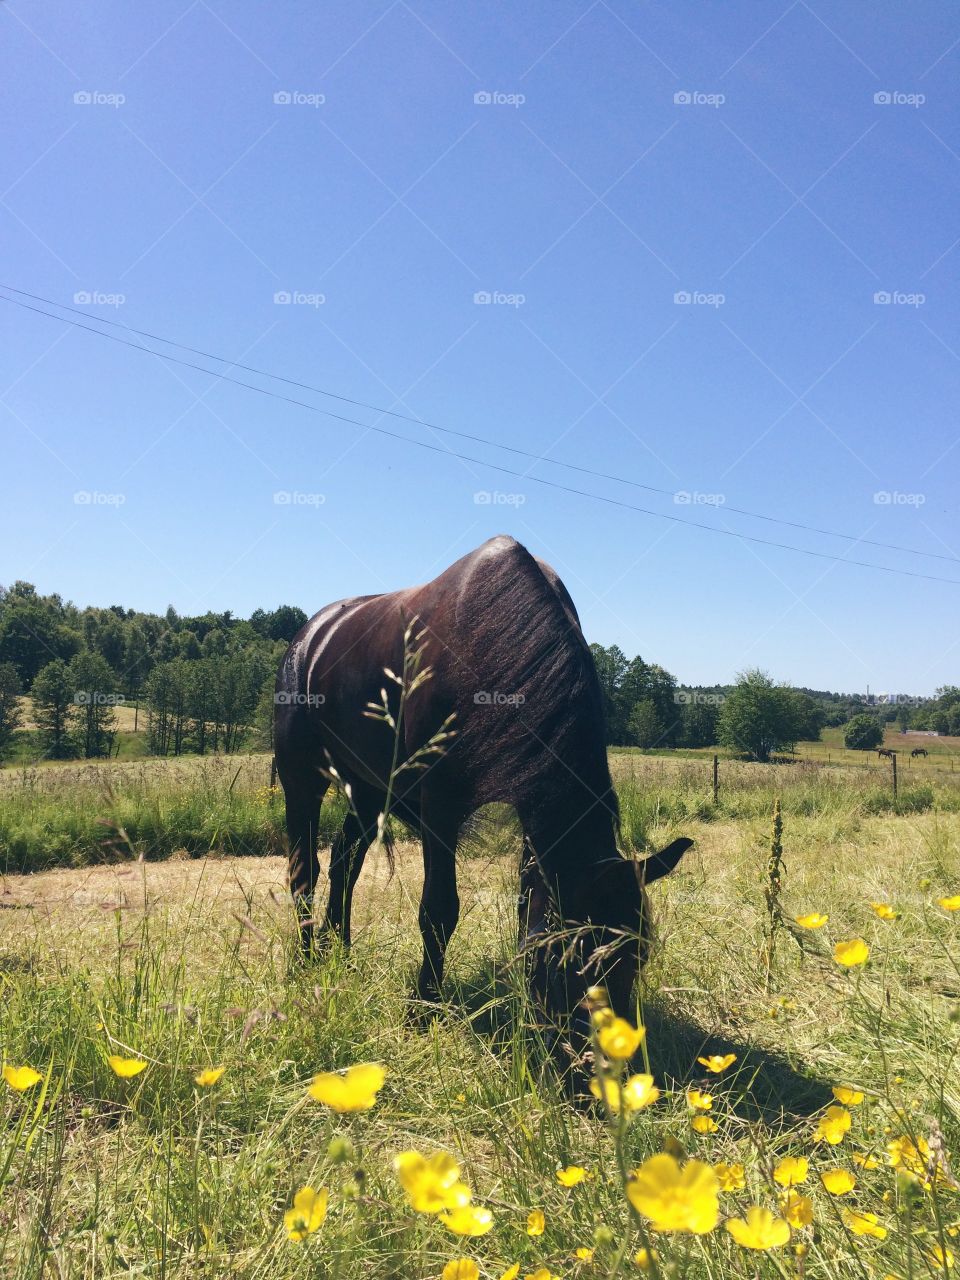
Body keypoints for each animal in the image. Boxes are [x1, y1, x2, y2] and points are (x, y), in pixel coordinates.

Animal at [274, 535, 693, 1060]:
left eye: (639, 955)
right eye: (569, 955)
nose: (601, 1059)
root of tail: (309, 634)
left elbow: (523, 903)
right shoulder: (440, 807)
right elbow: (438, 910)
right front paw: (423, 1008)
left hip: (367, 790)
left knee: (345, 862)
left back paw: (340, 955)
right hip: (302, 779)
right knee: (304, 870)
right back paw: (309, 959)